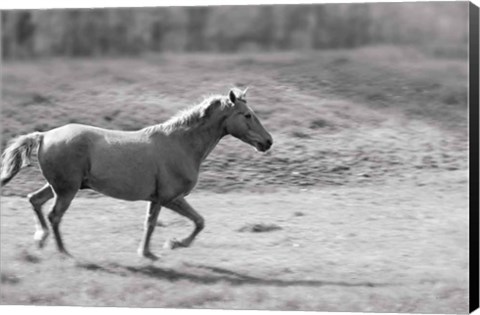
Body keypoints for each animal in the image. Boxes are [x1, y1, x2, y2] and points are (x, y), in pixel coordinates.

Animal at [0, 87, 272, 260]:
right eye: (247, 115)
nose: (268, 142)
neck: (181, 144)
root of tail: (44, 135)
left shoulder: (163, 198)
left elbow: (191, 221)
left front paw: (164, 247)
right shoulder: (168, 198)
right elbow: (164, 224)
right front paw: (159, 249)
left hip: (61, 186)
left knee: (34, 200)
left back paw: (41, 239)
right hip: (67, 190)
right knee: (54, 215)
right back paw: (63, 252)